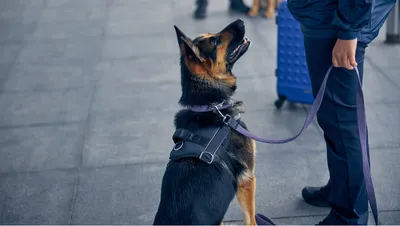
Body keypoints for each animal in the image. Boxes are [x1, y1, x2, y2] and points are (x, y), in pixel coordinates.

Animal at [153, 19, 256, 224]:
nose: (240, 20)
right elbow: (251, 219)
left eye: (212, 35)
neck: (209, 104)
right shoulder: (247, 180)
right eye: (215, 42)